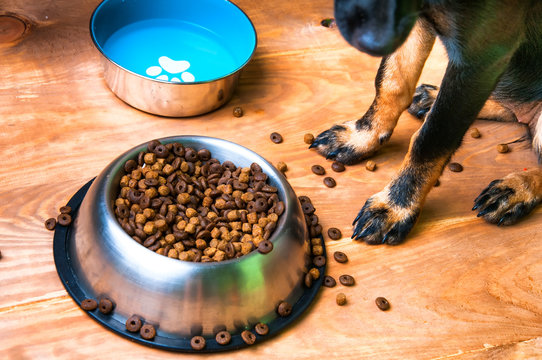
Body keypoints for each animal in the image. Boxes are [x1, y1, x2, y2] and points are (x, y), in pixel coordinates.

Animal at [310, 0, 542, 245]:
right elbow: (391, 82)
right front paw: (360, 137)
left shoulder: (480, 54)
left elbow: (431, 138)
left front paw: (395, 206)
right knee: (510, 105)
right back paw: (431, 98)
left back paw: (515, 189)